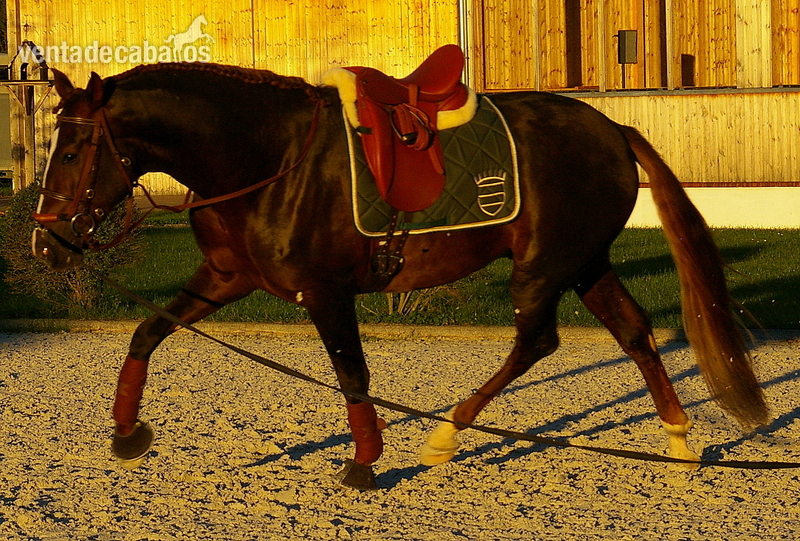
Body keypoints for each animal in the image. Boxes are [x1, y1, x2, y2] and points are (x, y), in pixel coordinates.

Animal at [31, 60, 769, 490]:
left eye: (70, 150)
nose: (45, 243)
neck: (267, 157)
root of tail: (612, 127)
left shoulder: (324, 290)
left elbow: (351, 371)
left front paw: (364, 459)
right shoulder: (224, 277)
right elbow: (146, 333)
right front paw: (126, 431)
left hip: (543, 265)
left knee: (538, 341)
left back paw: (448, 432)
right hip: (586, 262)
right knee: (636, 332)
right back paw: (677, 439)